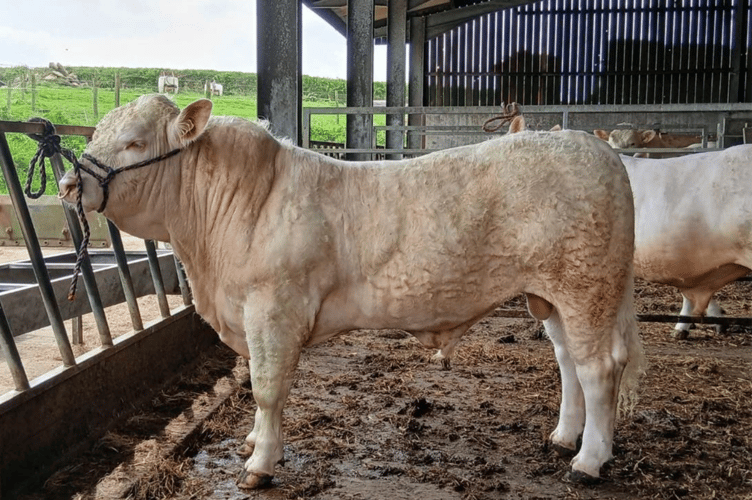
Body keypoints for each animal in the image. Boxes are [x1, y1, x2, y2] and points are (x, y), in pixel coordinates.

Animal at [59, 94, 644, 488]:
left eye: (135, 141)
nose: (68, 183)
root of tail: (595, 150)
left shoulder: (273, 310)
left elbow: (267, 388)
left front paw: (259, 463)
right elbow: (254, 385)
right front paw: (252, 439)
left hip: (586, 285)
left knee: (598, 368)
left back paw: (589, 462)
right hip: (553, 297)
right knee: (569, 361)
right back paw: (564, 437)